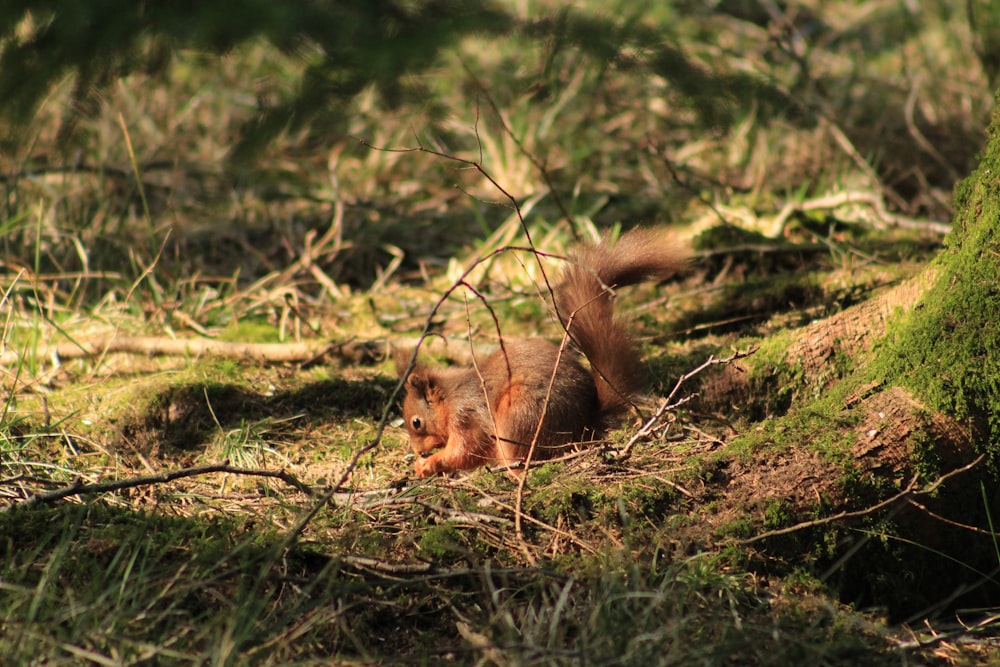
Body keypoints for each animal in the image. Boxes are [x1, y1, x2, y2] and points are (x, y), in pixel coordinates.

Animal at [394, 227, 692, 478]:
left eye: (416, 422)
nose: (418, 451)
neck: (449, 398)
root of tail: (586, 423)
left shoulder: (466, 417)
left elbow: (466, 450)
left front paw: (428, 464)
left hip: (520, 414)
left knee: (521, 458)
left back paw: (510, 472)